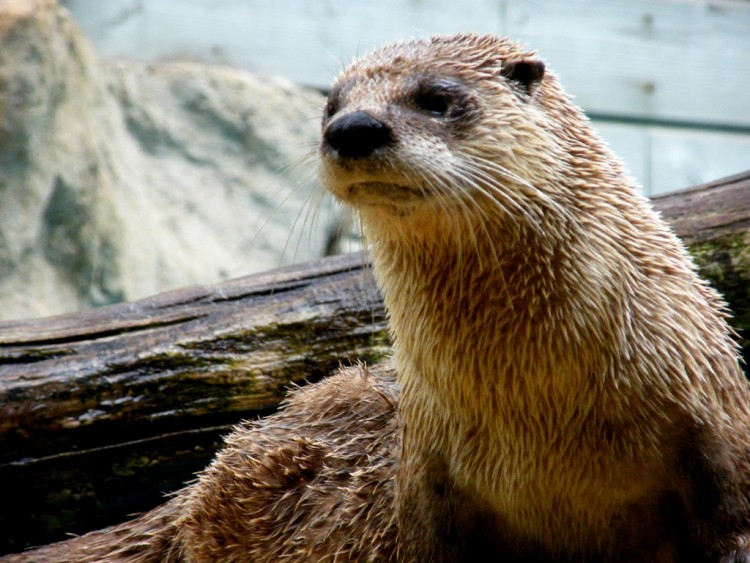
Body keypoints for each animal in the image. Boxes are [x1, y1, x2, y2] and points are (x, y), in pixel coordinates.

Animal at [4, 33, 750, 560]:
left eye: (437, 96)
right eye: (330, 103)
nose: (353, 128)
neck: (551, 421)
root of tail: (189, 494)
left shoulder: (720, 442)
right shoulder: (426, 482)